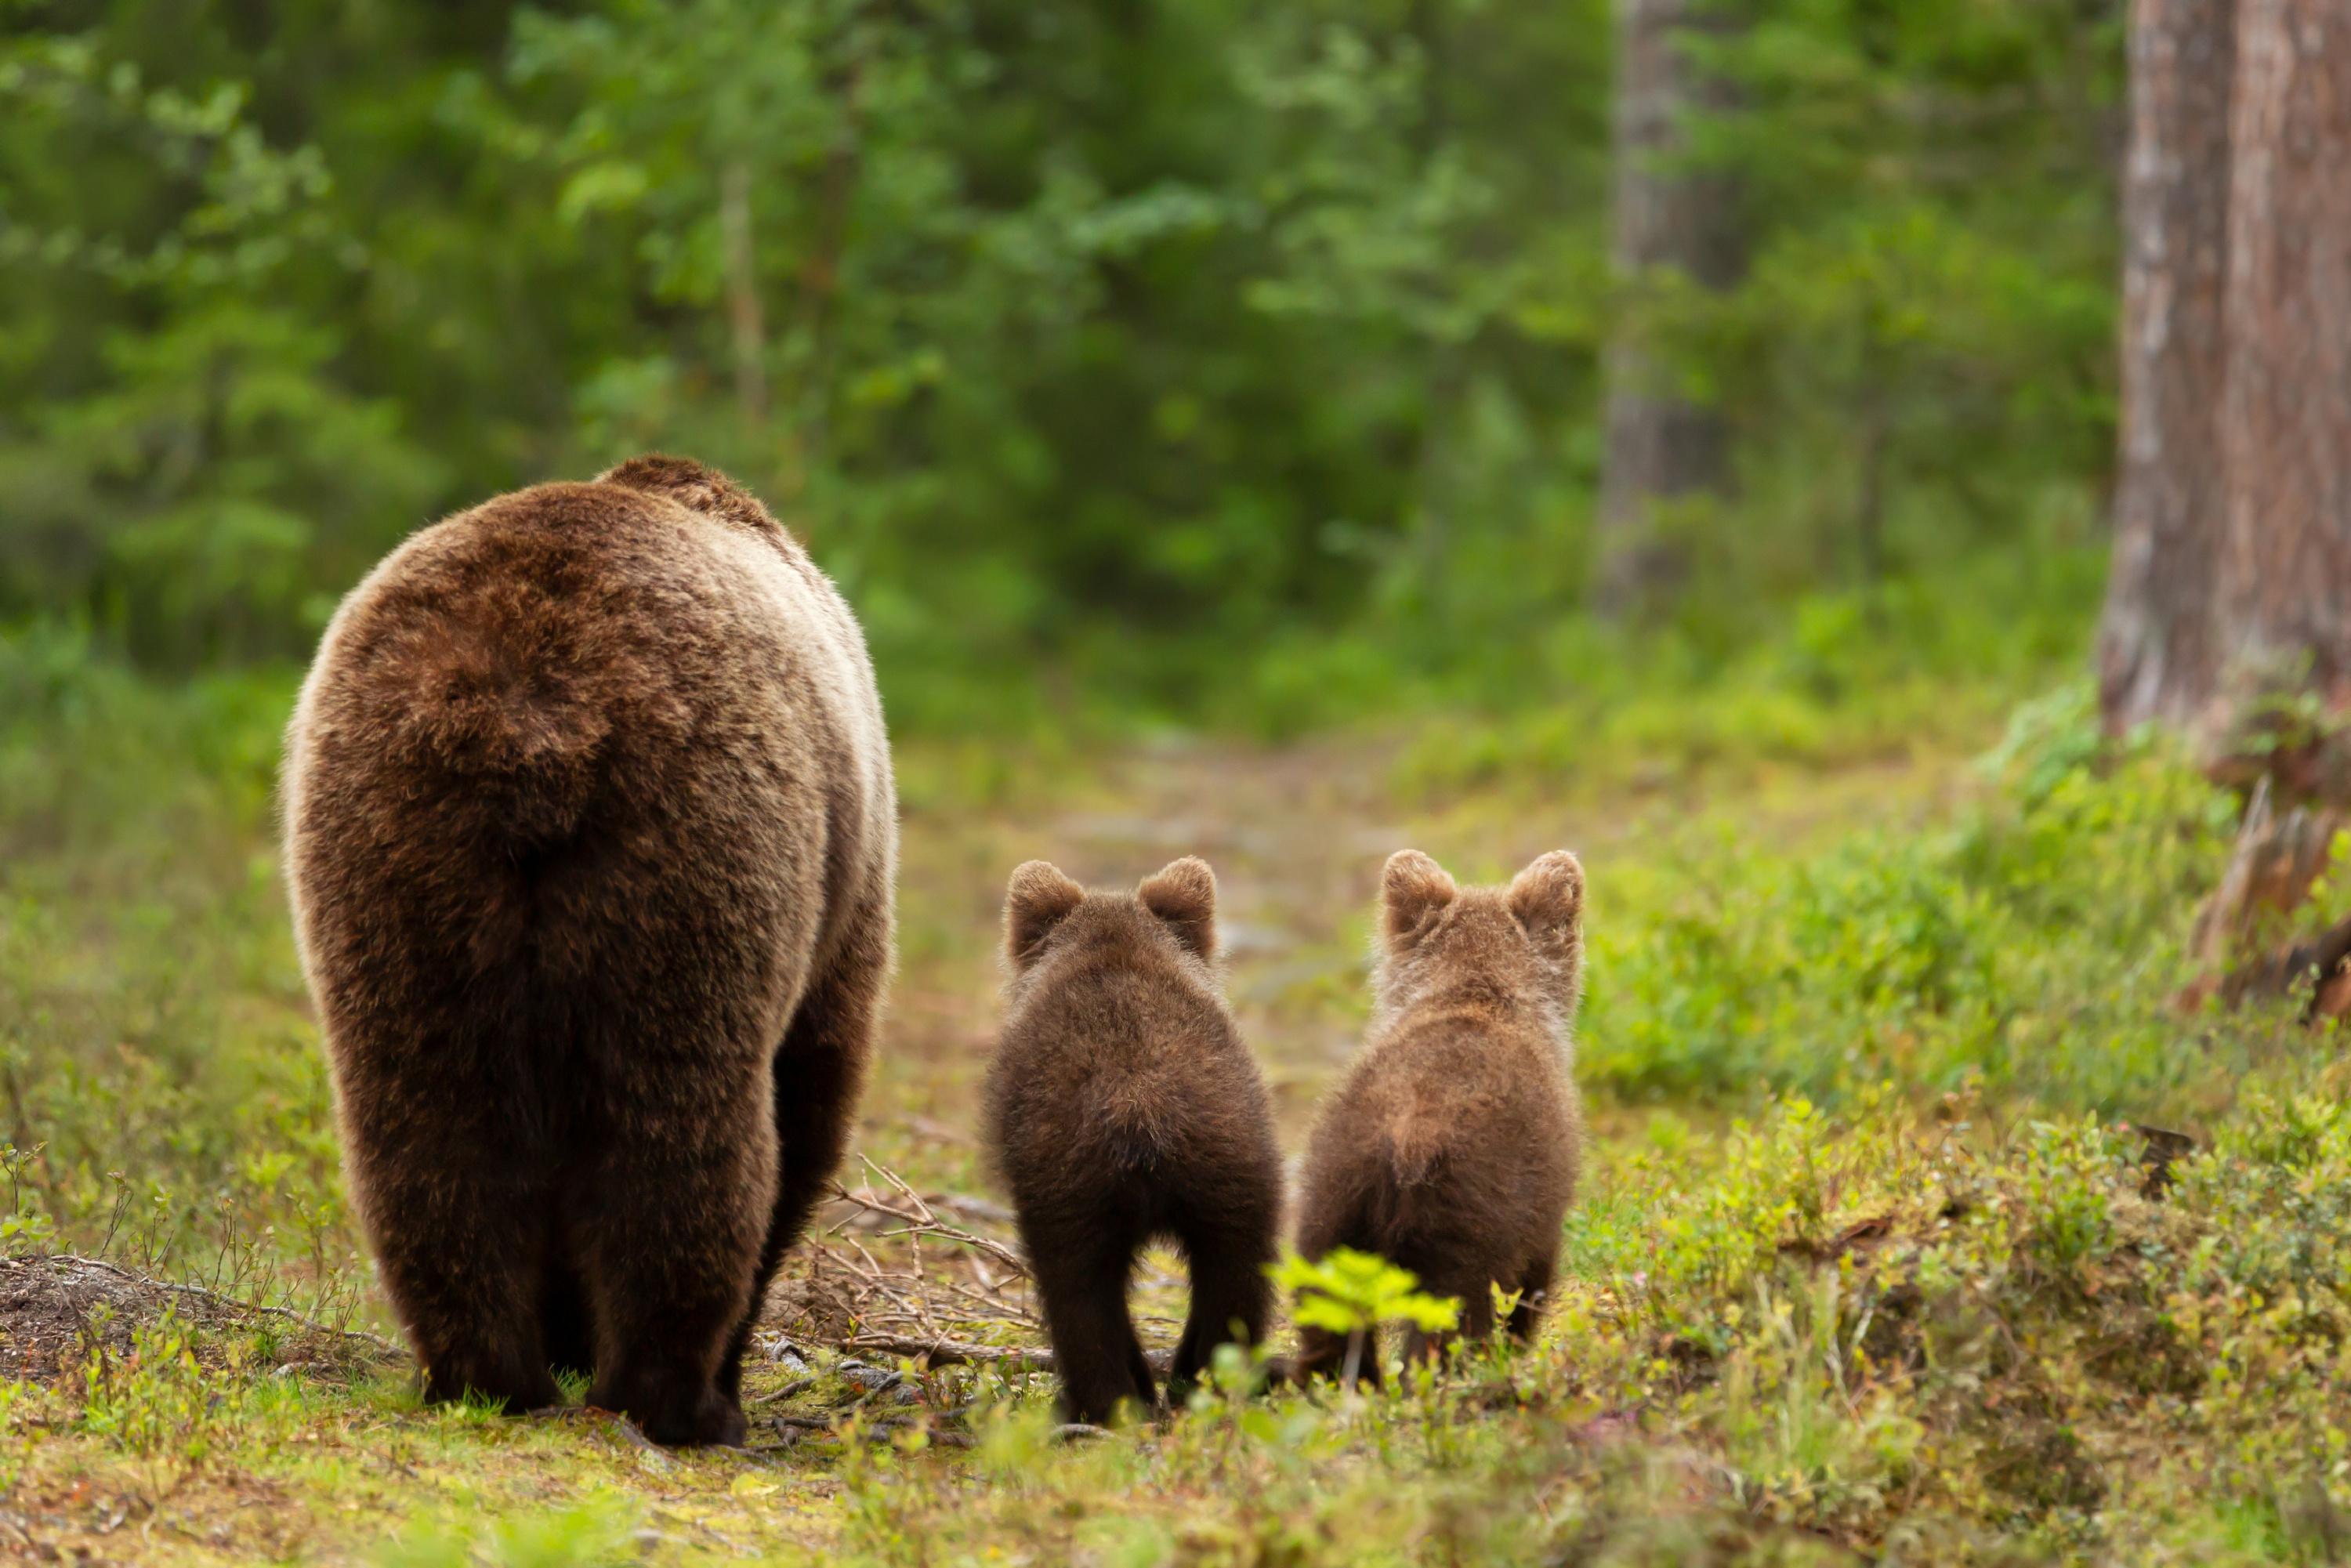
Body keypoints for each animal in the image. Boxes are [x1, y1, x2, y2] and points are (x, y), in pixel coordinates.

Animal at [284, 456, 889, 1448]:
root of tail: (527, 710)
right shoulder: (846, 895)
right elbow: (813, 1094)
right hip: (694, 844)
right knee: (679, 1123)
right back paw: (677, 1395)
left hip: (393, 843)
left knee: (426, 1118)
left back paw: (482, 1373)